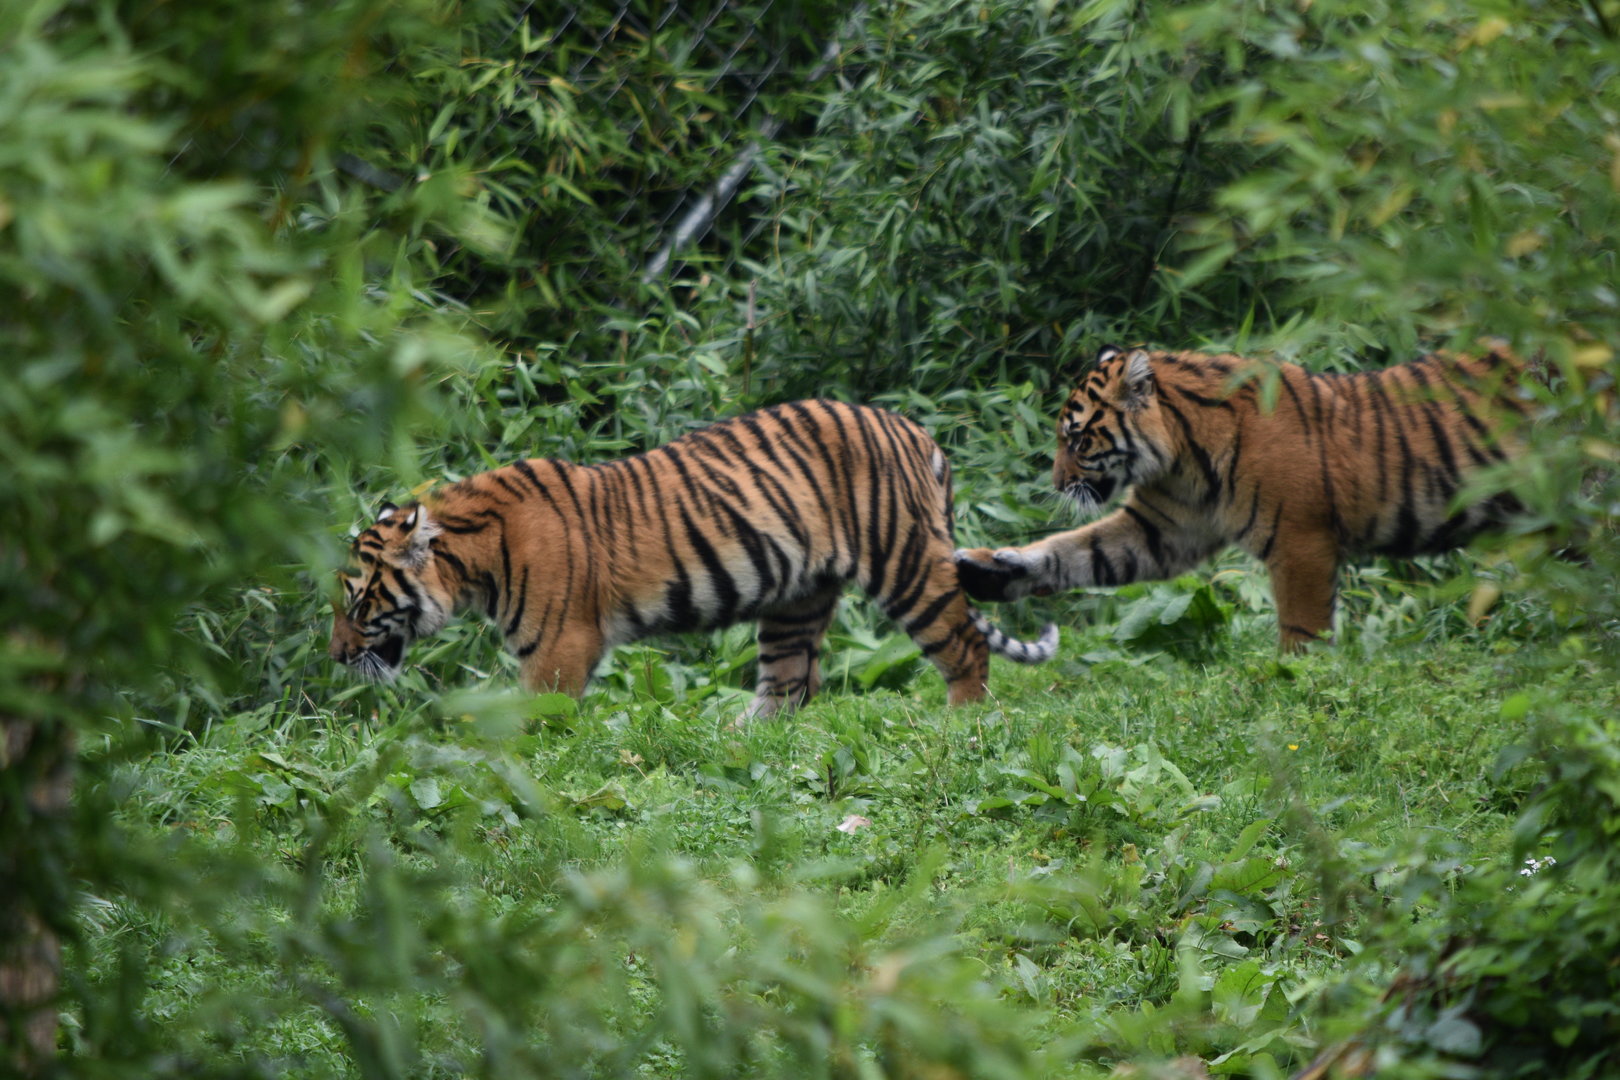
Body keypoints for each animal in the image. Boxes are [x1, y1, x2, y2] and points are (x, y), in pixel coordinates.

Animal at [329, 399, 1058, 715]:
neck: (471, 560)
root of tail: (919, 433)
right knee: (793, 684)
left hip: (904, 562)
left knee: (966, 647)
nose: (335, 657)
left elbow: (539, 719)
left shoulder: (559, 648)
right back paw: (742, 734)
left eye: (359, 602)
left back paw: (961, 722)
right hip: (797, 599)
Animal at [954, 344, 1533, 651]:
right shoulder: (1161, 529)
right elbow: (1078, 550)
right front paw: (992, 569)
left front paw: (1294, 677)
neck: (1183, 458)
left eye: (1075, 440)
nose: (1054, 483)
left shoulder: (1302, 542)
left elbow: (1302, 624)